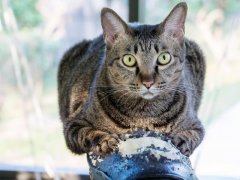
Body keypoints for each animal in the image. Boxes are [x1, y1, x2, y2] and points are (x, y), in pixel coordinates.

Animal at [57, 2, 204, 157]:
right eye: (129, 60)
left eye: (164, 58)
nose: (148, 82)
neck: (143, 116)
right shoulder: (73, 124)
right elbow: (89, 133)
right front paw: (105, 141)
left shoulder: (196, 125)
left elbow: (192, 135)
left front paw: (181, 141)